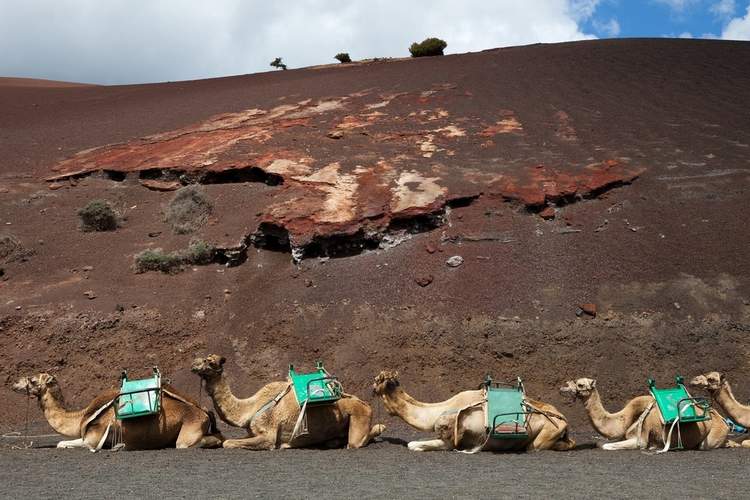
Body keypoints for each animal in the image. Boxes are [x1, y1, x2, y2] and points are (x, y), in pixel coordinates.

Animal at [11, 372, 223, 450]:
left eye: (32, 380)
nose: (14, 384)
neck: (80, 417)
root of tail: (203, 410)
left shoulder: (93, 438)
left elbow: (61, 443)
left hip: (189, 429)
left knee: (187, 444)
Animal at [189, 354, 388, 452]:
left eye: (209, 361)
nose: (193, 365)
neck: (250, 408)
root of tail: (366, 404)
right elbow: (226, 440)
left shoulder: (268, 435)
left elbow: (228, 443)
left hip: (359, 417)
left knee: (357, 441)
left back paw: (379, 428)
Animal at [372, 370, 576, 452]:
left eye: (377, 380)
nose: (371, 387)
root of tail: (564, 420)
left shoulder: (452, 439)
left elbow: (413, 444)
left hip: (544, 437)